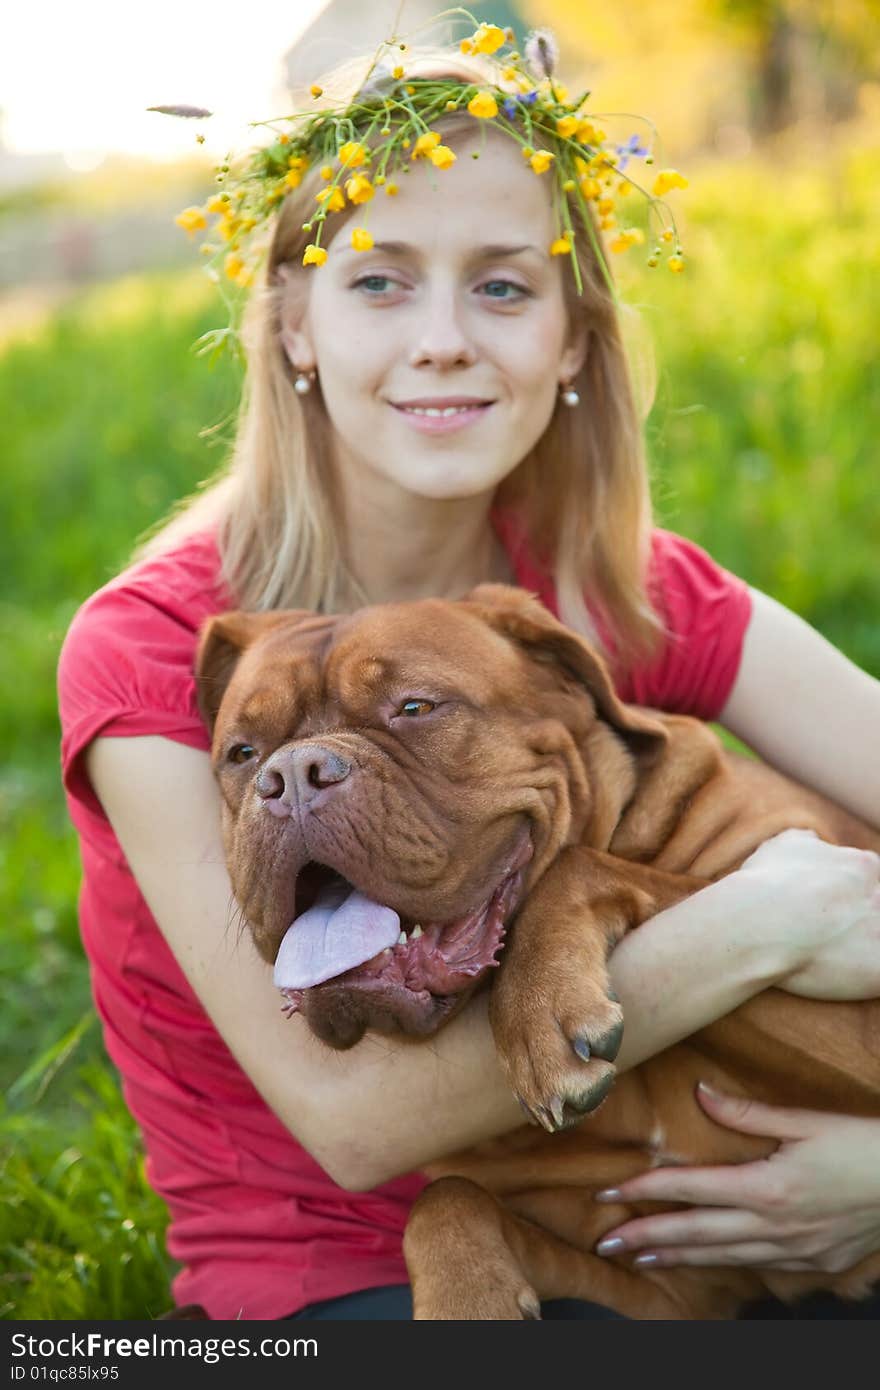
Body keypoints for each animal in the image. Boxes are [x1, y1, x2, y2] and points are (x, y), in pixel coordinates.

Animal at [197, 581, 878, 1317]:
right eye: (242, 753)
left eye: (415, 707)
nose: (292, 773)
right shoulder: (665, 1285)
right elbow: (446, 1200)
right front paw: (467, 1294)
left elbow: (581, 865)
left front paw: (539, 1013)